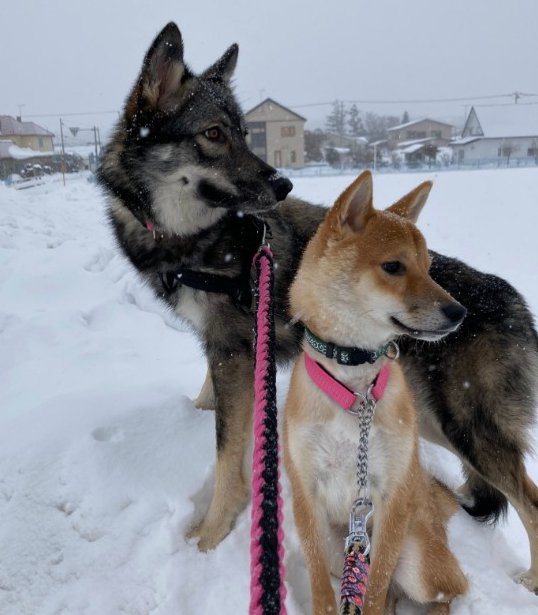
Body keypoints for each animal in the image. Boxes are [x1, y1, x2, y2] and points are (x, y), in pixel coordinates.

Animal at [282, 171, 466, 612]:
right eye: (393, 266)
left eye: (429, 268)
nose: (459, 313)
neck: (354, 385)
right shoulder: (306, 493)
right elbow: (319, 580)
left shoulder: (392, 496)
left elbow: (377, 583)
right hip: (342, 548)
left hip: (418, 563)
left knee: (449, 589)